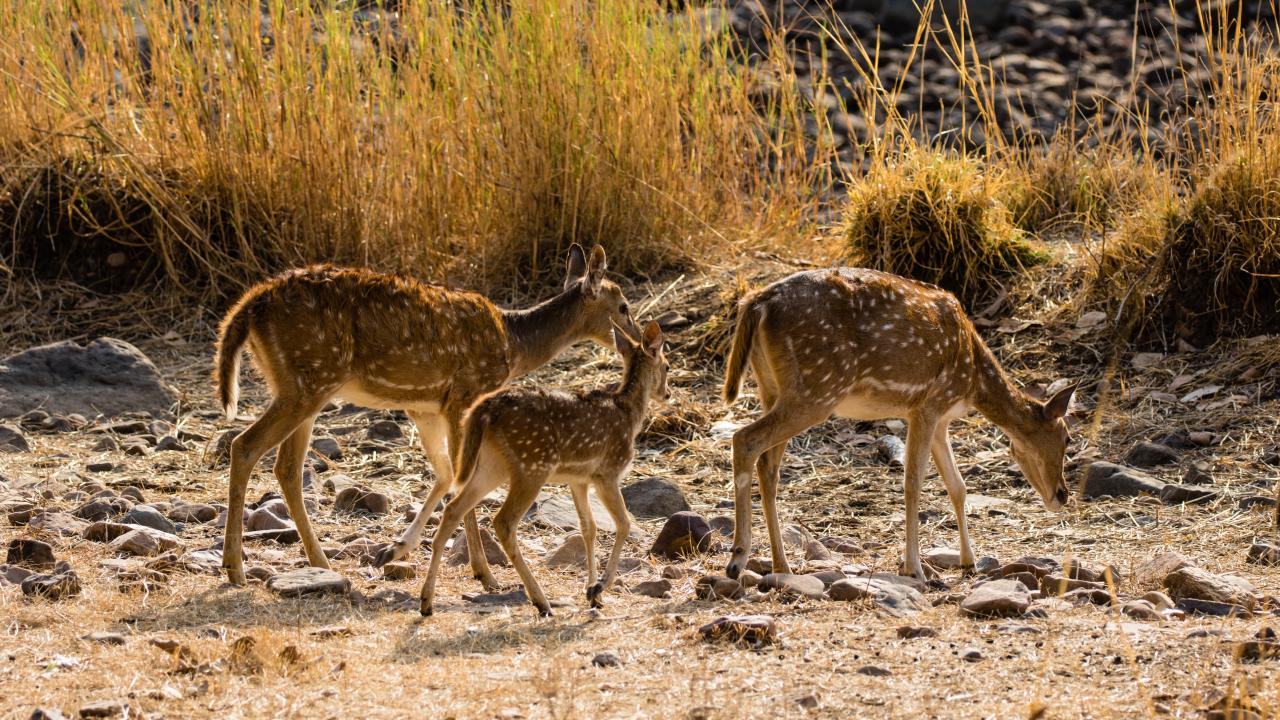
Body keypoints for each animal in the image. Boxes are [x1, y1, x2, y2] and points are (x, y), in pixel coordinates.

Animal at [216, 243, 650, 586]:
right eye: (624, 306)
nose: (640, 341)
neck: (513, 344)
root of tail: (250, 305)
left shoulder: (424, 406)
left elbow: (444, 475)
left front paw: (395, 549)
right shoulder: (466, 394)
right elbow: (461, 482)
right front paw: (484, 574)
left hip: (300, 384)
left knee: (286, 467)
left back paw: (319, 562)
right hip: (308, 380)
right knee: (244, 445)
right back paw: (236, 568)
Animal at [414, 320, 670, 617]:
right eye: (667, 365)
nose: (667, 393)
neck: (629, 415)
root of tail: (485, 408)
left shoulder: (578, 479)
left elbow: (589, 528)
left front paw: (593, 595)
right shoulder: (607, 472)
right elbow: (624, 523)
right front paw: (599, 587)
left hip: (492, 464)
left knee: (454, 508)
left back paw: (427, 601)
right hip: (533, 465)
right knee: (503, 521)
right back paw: (541, 600)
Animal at [727, 266, 1075, 579]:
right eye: (1068, 437)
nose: (1062, 495)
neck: (973, 380)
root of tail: (756, 303)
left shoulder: (940, 419)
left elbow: (957, 486)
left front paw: (969, 561)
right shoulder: (928, 404)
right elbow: (913, 483)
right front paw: (914, 568)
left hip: (771, 388)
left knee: (768, 464)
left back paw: (780, 565)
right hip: (816, 388)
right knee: (744, 439)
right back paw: (737, 559)